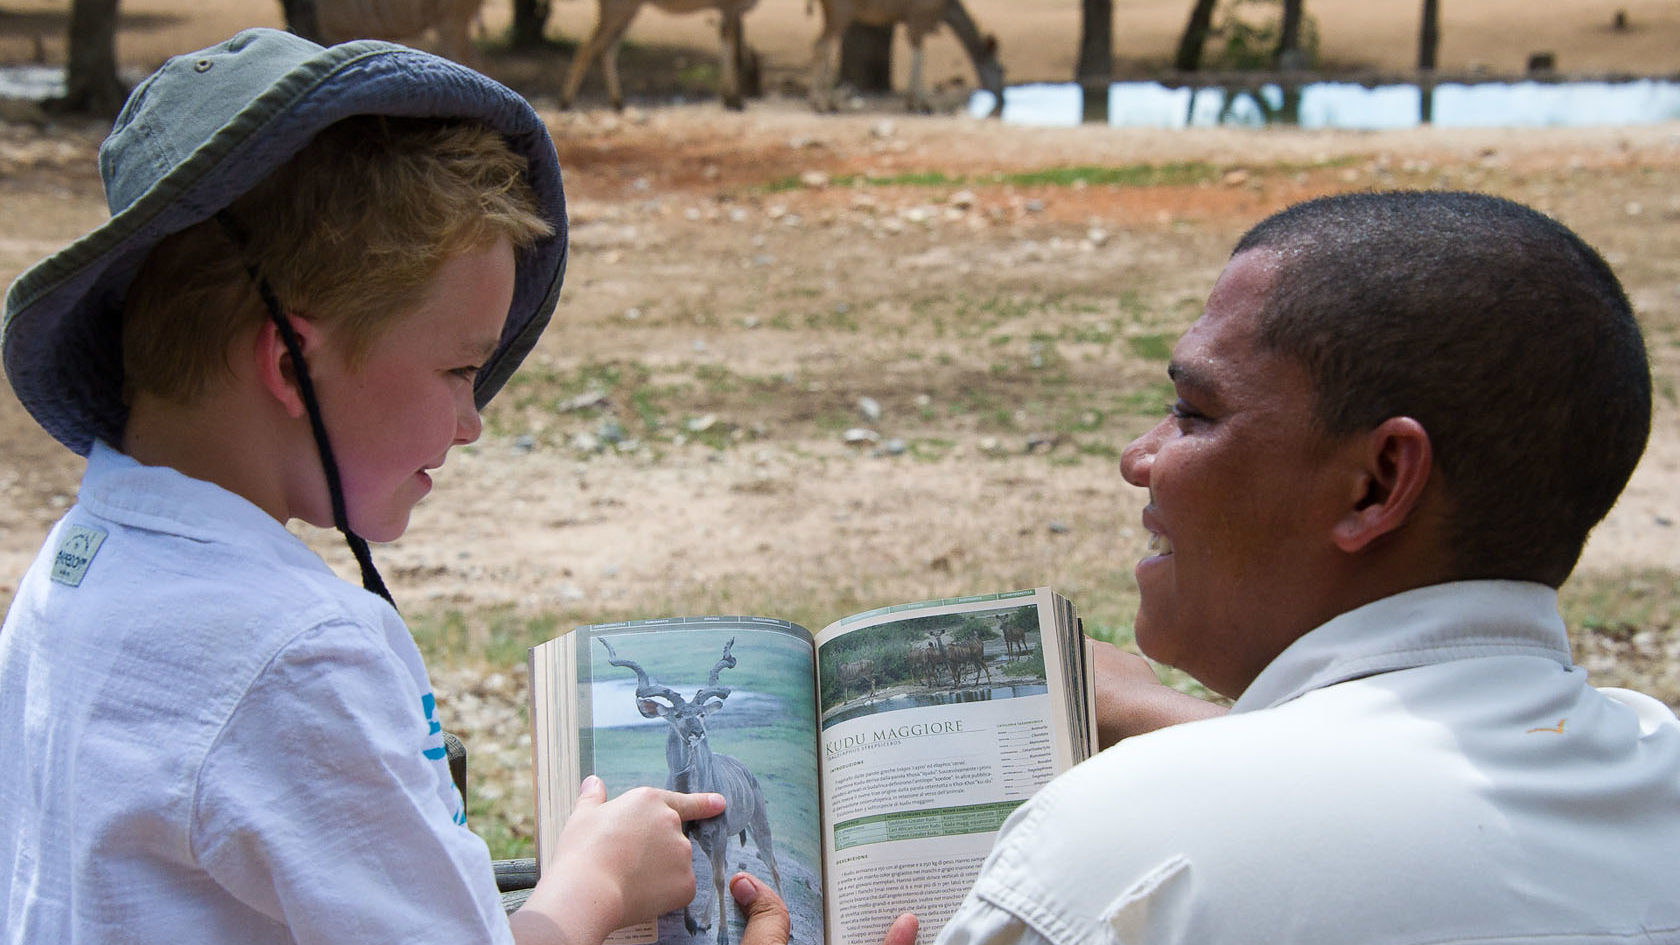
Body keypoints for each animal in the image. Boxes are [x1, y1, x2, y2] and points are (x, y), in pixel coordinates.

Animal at [598, 632, 779, 941]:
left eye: (702, 714)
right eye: (678, 715)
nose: (697, 732)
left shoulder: (718, 832)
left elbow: (719, 878)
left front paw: (723, 936)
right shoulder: (688, 832)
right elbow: (692, 879)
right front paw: (692, 924)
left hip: (757, 822)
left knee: (770, 865)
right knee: (726, 865)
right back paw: (704, 921)